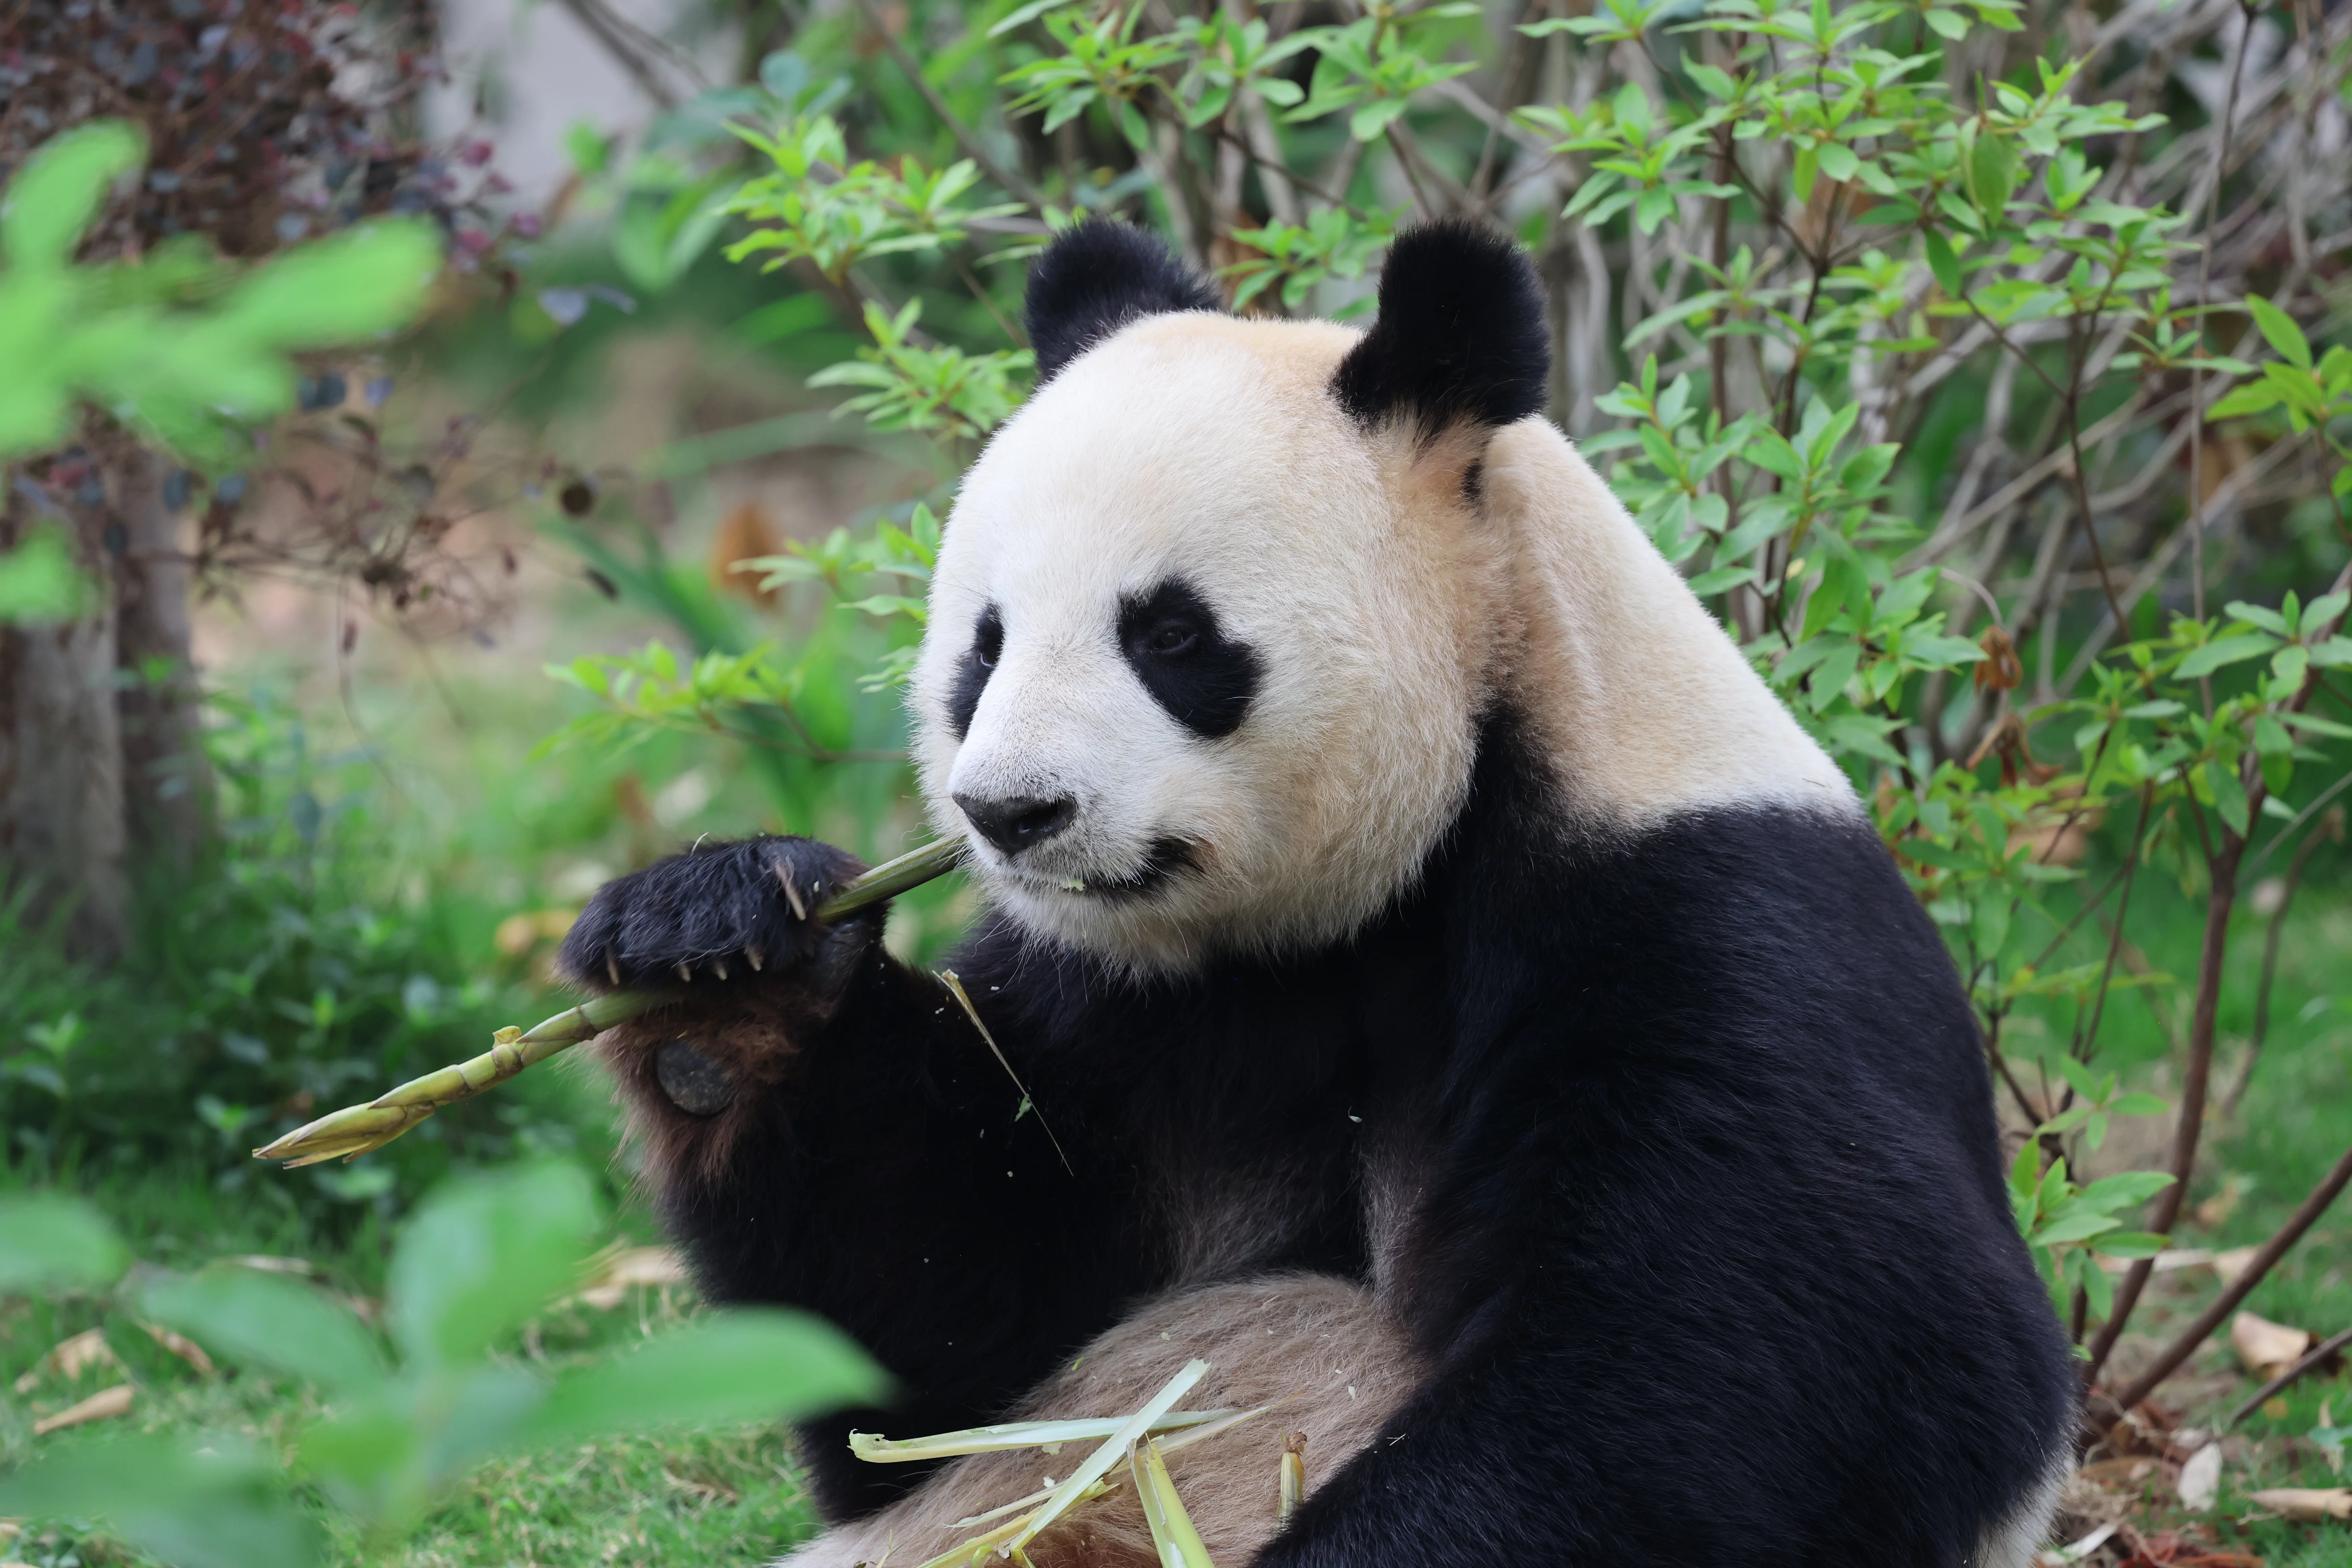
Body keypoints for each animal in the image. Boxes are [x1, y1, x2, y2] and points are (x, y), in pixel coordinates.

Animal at [561, 219, 2077, 1567]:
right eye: (984, 646)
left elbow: (1767, 1364)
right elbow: (936, 1360)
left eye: (1171, 635)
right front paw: (724, 969)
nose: (1014, 814)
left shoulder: (1705, 928)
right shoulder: (1118, 1004)